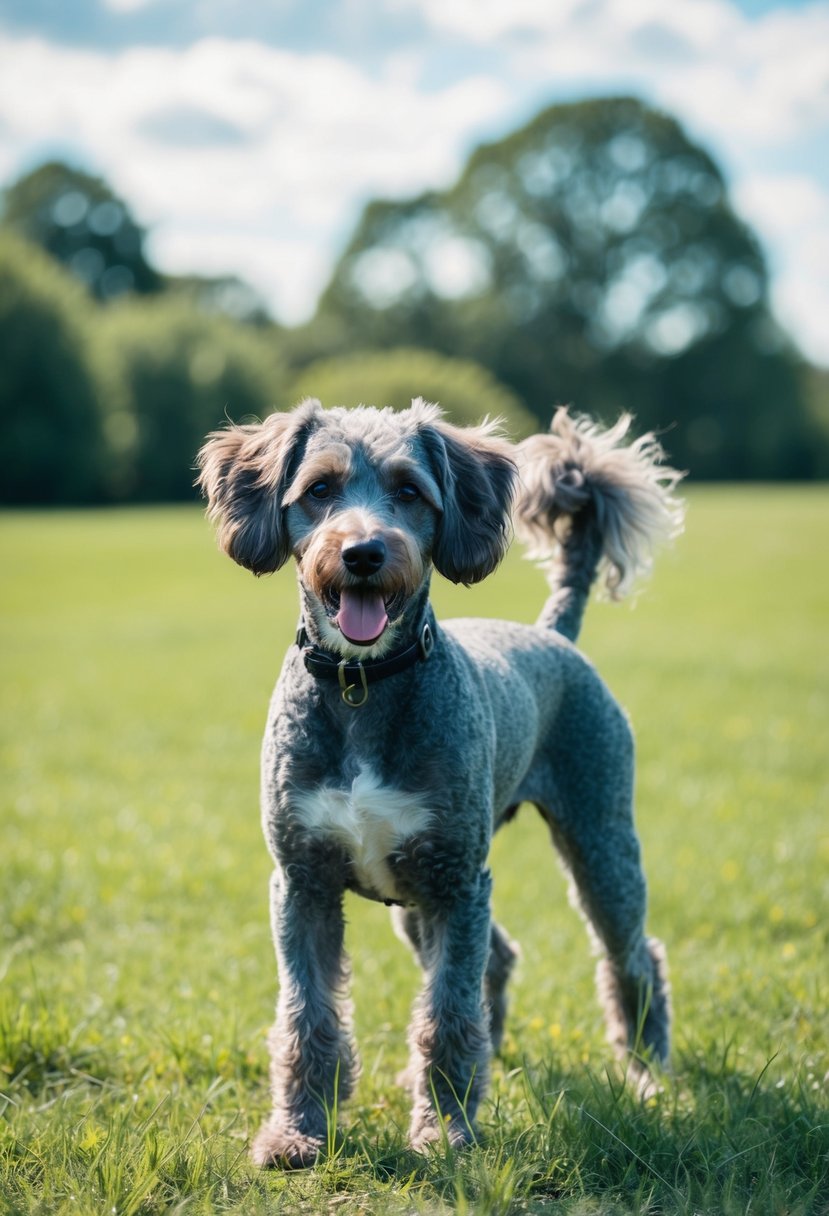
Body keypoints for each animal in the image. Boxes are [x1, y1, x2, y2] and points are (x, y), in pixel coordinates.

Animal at [196, 398, 680, 1167]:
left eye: (409, 491)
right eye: (320, 489)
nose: (364, 553)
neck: (362, 686)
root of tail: (554, 633)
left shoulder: (457, 884)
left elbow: (446, 1014)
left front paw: (446, 1133)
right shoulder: (303, 882)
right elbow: (308, 1016)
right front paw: (299, 1132)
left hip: (599, 844)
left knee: (632, 958)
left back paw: (646, 1075)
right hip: (415, 896)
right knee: (500, 957)